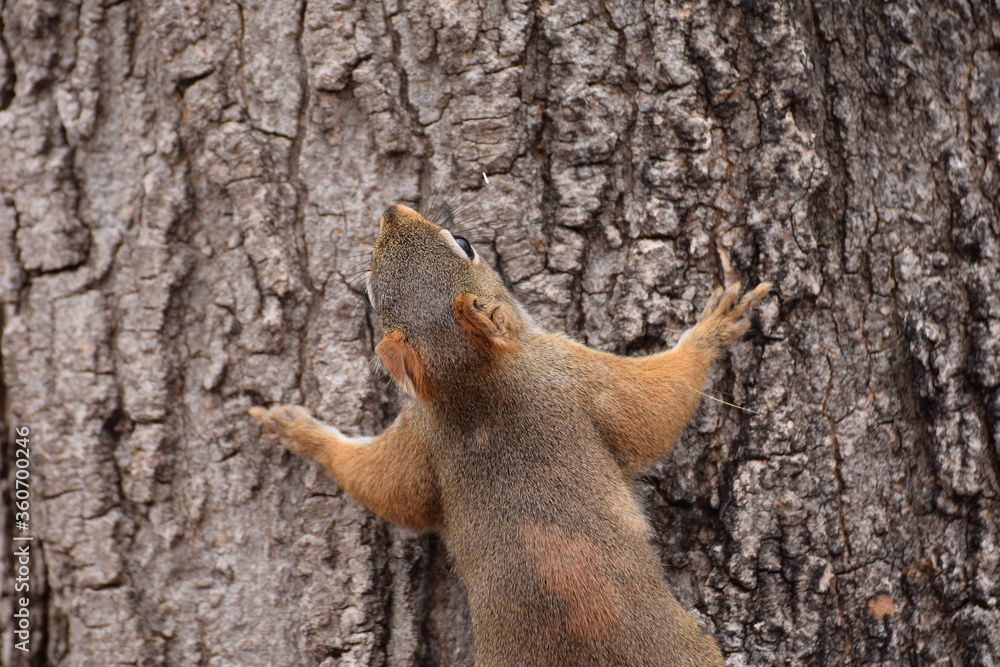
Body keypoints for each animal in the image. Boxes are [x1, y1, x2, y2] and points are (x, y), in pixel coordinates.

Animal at [250, 204, 771, 666]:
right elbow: (655, 407)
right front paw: (714, 327)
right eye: (466, 244)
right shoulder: (574, 374)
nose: (390, 210)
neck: (472, 384)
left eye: (373, 296)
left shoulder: (421, 437)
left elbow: (391, 490)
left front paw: (298, 429)